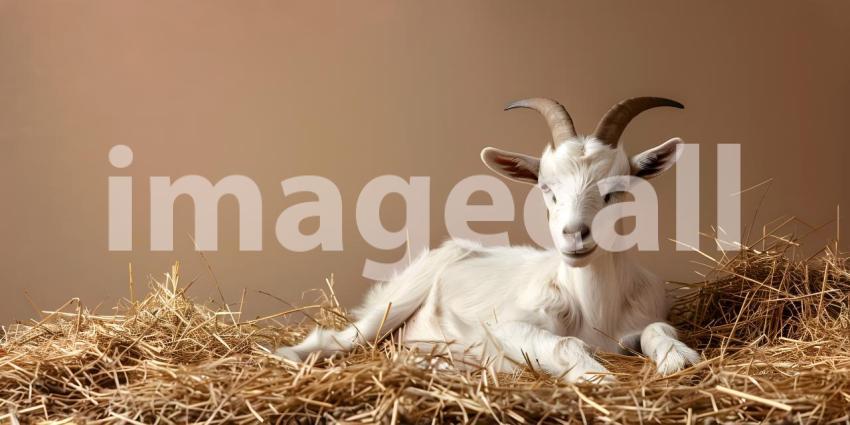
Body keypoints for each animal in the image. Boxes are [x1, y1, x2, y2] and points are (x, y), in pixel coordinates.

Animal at [275, 97, 700, 382]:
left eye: (617, 189)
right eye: (546, 187)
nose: (574, 234)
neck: (595, 310)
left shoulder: (649, 314)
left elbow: (658, 330)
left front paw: (679, 359)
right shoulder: (507, 325)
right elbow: (564, 343)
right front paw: (596, 377)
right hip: (397, 299)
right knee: (340, 338)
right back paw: (289, 355)